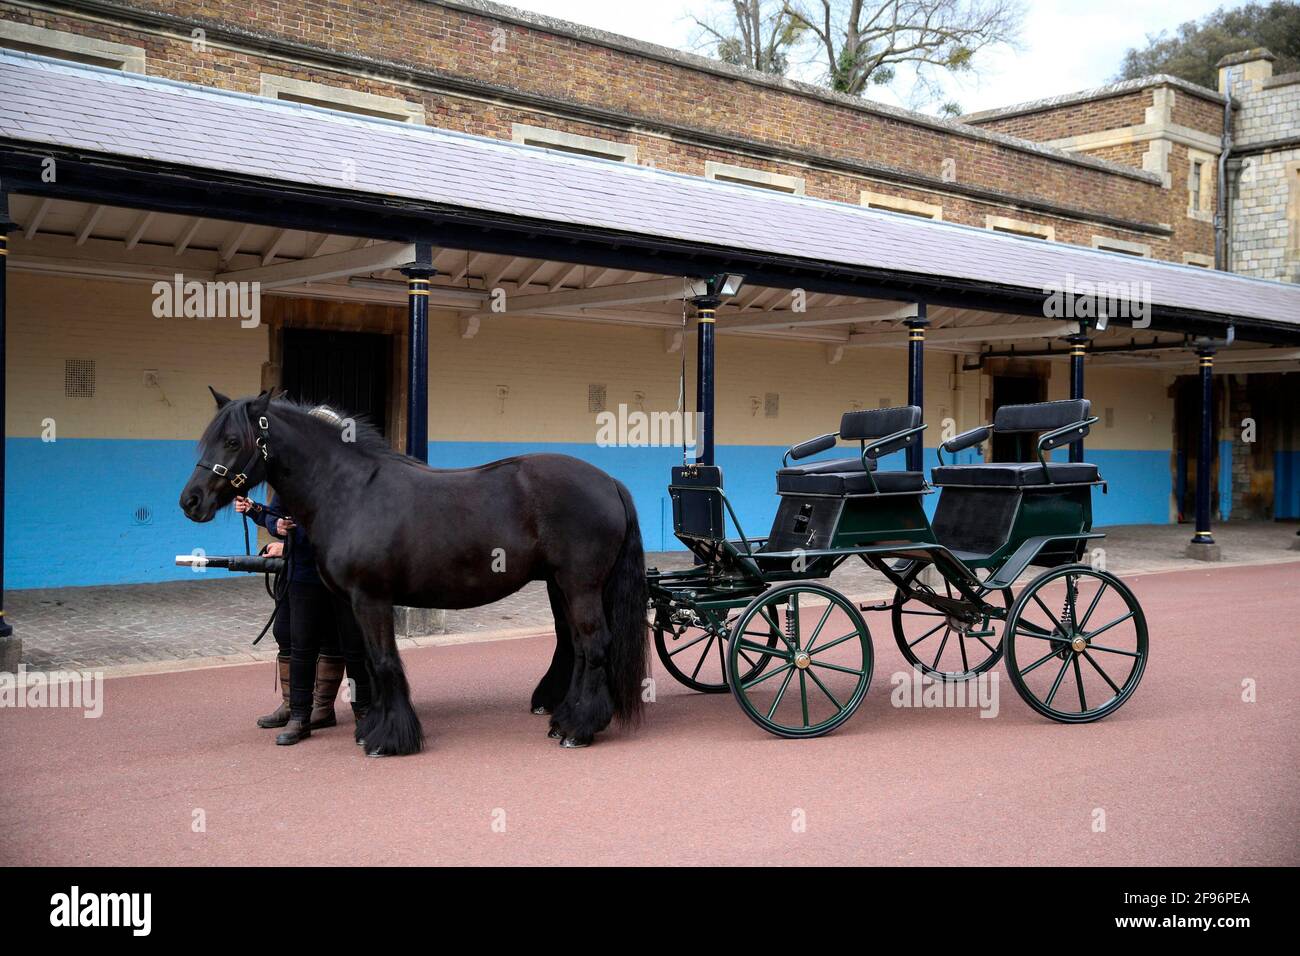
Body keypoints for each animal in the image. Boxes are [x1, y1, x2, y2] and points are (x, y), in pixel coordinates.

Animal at [180, 390, 647, 754]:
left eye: (233, 440)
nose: (191, 501)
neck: (350, 491)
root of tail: (609, 482)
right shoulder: (349, 603)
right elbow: (365, 664)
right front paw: (371, 727)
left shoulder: (371, 599)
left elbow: (385, 661)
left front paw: (390, 739)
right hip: (559, 585)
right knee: (574, 646)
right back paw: (563, 717)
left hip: (580, 585)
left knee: (593, 644)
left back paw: (577, 729)